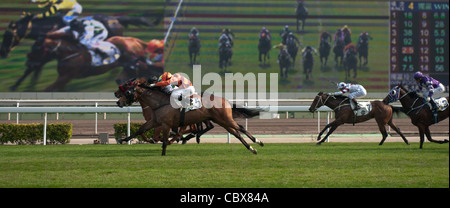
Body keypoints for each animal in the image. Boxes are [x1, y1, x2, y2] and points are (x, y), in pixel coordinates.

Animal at [116, 79, 264, 155]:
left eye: (127, 91)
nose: (118, 102)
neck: (159, 102)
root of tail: (225, 101)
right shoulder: (154, 121)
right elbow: (140, 130)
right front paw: (123, 139)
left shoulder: (166, 124)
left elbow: (164, 140)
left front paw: (164, 152)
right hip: (222, 121)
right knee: (236, 133)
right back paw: (252, 149)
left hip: (225, 119)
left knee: (240, 128)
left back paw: (258, 142)